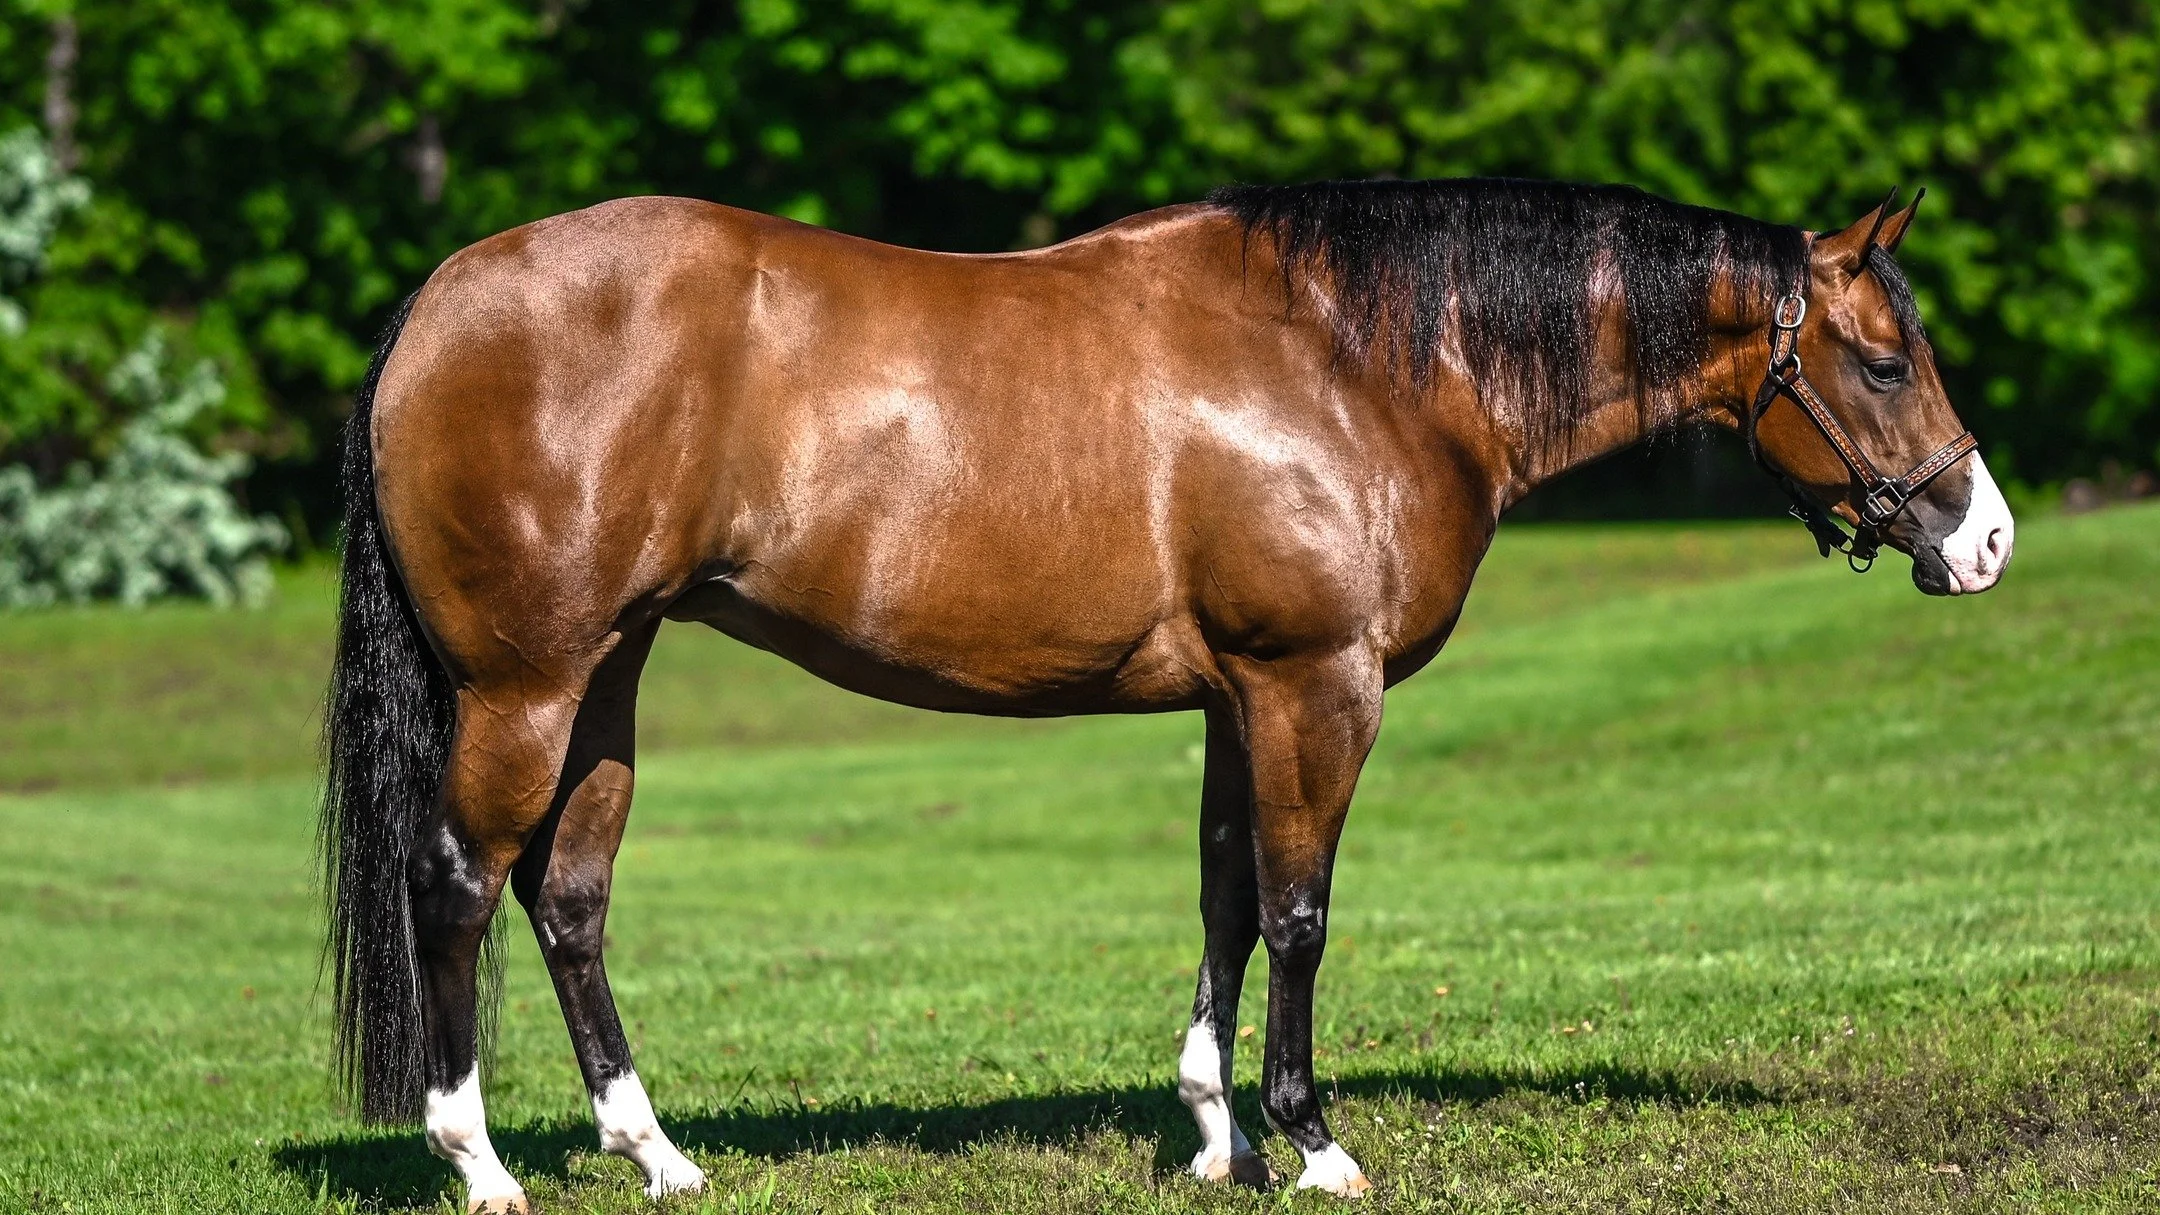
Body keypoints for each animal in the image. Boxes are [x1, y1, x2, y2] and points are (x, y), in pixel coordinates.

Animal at [321, 178, 2013, 1211]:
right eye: (1880, 360)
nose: (1984, 536)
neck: (1359, 361)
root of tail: (439, 299)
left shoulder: (1234, 696)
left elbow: (1223, 899)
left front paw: (1214, 1132)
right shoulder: (1315, 685)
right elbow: (1301, 909)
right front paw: (1313, 1139)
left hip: (606, 677)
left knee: (570, 898)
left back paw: (655, 1152)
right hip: (528, 684)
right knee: (458, 881)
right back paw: (478, 1158)